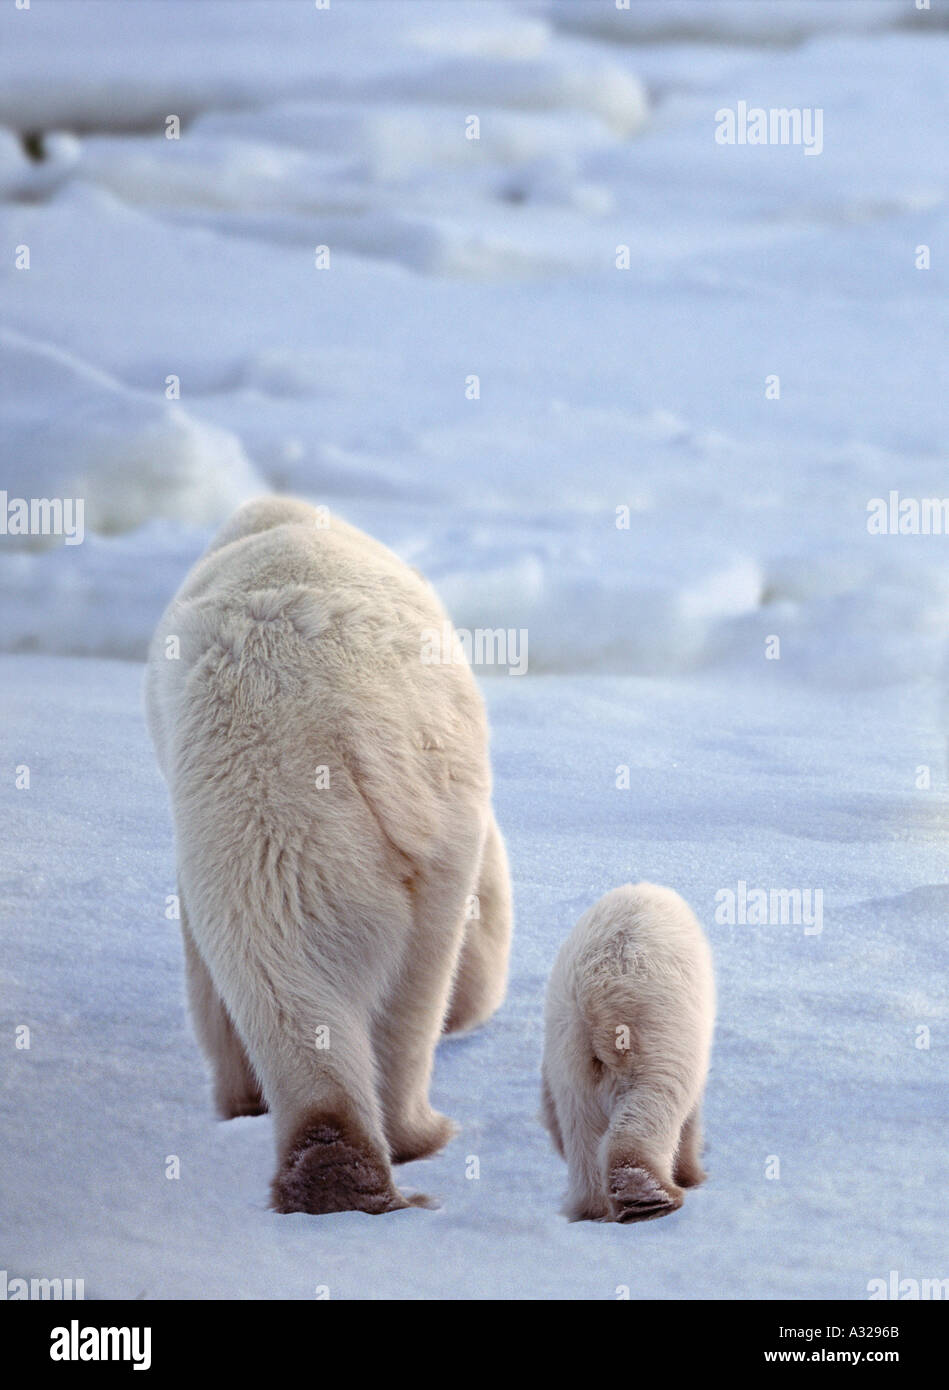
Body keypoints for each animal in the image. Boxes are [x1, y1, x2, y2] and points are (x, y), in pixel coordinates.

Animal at [144, 495, 512, 1214]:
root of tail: (356, 724)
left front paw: (238, 1103)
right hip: (406, 820)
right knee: (385, 977)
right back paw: (374, 1152)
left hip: (276, 812)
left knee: (293, 962)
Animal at [540, 883, 714, 1223]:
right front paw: (693, 1175)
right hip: (658, 1032)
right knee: (655, 1098)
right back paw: (649, 1199)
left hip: (570, 1049)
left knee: (580, 1124)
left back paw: (590, 1209)